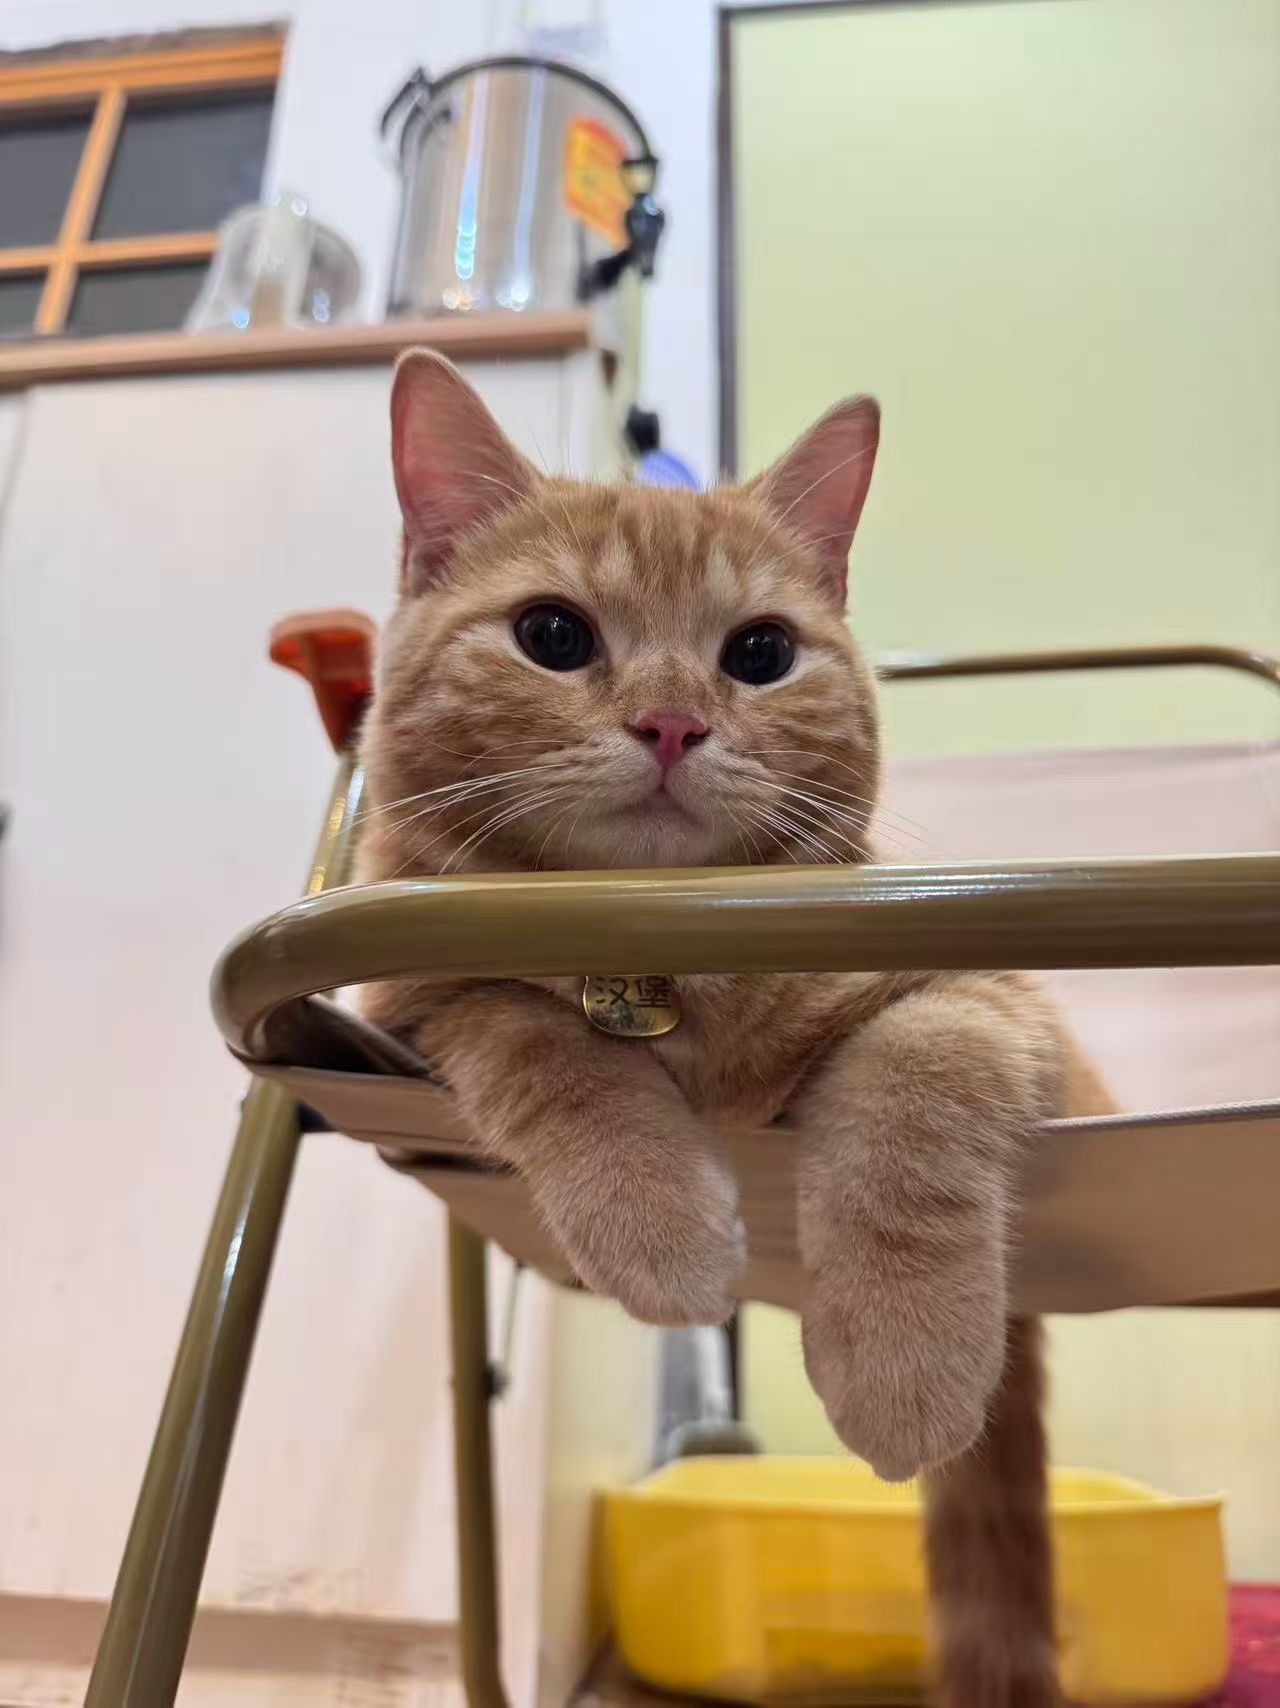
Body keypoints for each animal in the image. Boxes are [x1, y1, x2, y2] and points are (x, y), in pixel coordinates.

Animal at [359, 350, 1110, 1707]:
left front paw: (901, 1361)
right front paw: (654, 1218)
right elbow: (538, 1041)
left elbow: (911, 1082)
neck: (669, 955)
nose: (670, 721)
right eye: (553, 635)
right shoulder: (406, 1007)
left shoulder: (996, 1000)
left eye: (758, 653)